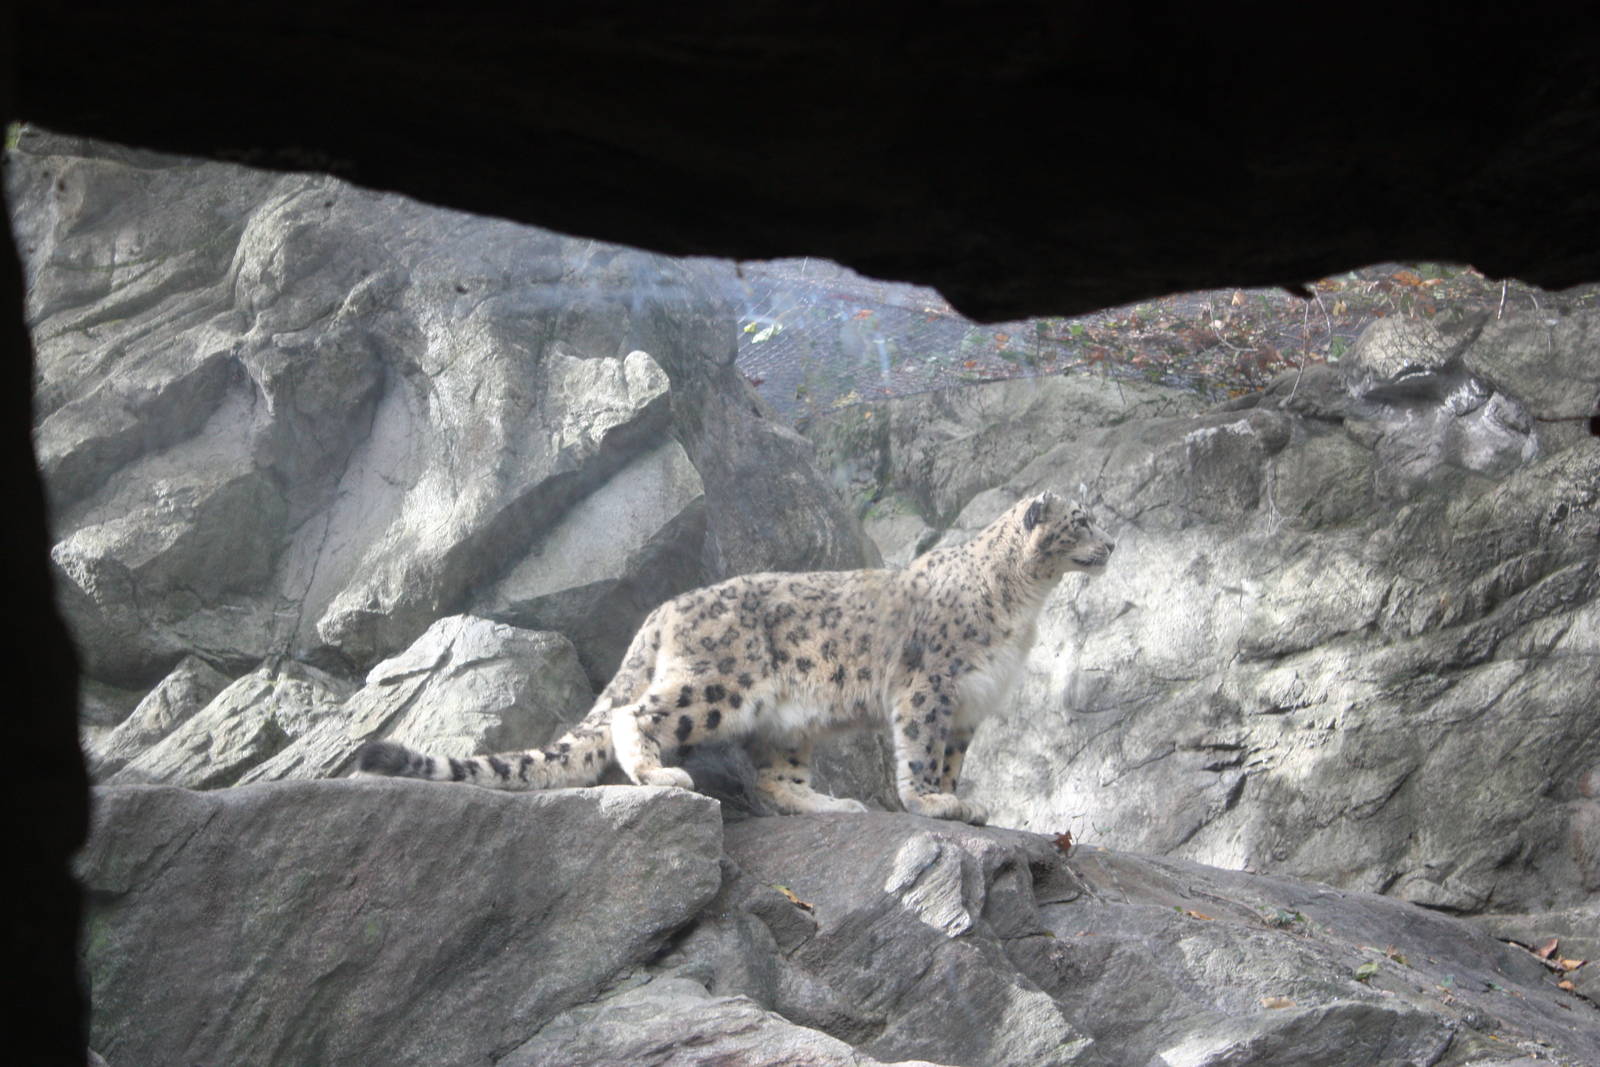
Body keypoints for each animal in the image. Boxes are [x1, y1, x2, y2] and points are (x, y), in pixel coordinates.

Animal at [355, 489, 1113, 823]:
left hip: (787, 719)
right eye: (1081, 520)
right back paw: (660, 775)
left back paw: (830, 804)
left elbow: (952, 756)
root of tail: (667, 606)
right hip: (719, 684)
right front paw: (933, 802)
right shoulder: (932, 688)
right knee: (635, 713)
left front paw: (959, 799)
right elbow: (923, 750)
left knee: (778, 774)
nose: (1111, 545)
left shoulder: (970, 704)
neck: (1026, 605)